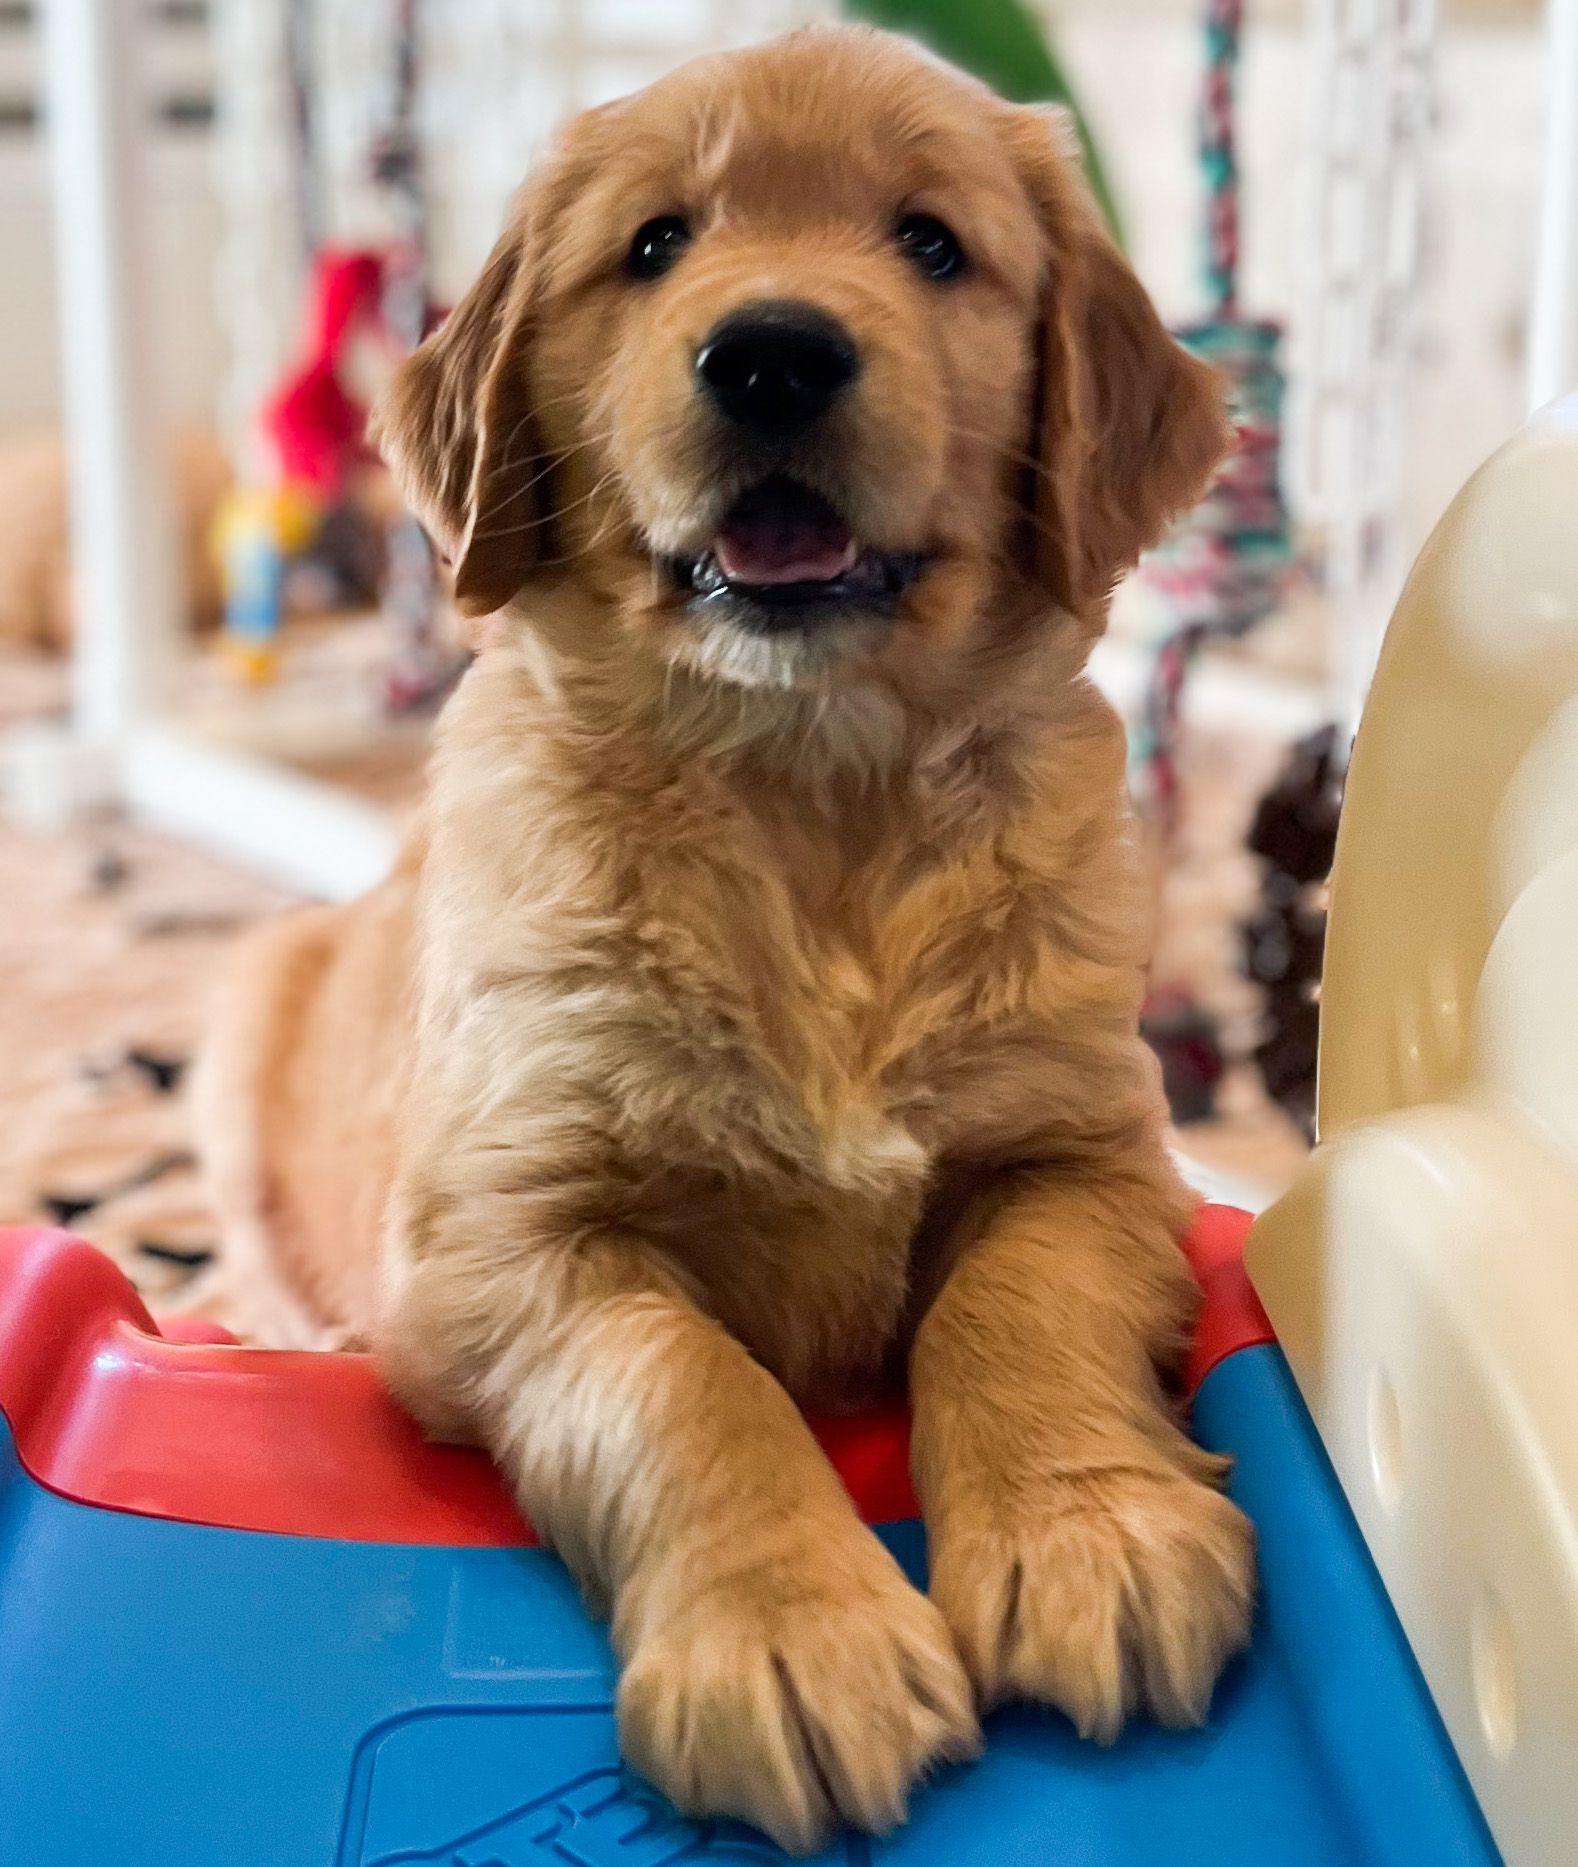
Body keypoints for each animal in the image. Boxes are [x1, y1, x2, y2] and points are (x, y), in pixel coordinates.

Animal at [197, 24, 1254, 1853]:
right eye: (651, 246)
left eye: (930, 243)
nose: (770, 353)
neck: (806, 791)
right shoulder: (506, 1239)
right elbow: (680, 1375)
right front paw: (791, 1637)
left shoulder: (1089, 1147)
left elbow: (1018, 1298)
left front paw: (1091, 1532)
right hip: (242, 1024)